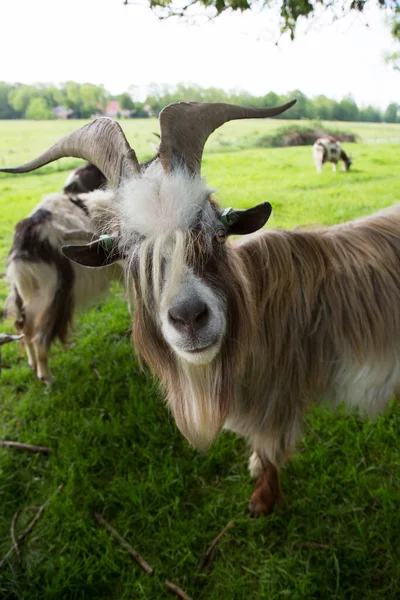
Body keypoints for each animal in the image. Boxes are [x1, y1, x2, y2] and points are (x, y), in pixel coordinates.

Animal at [3, 163, 121, 384]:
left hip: (25, 294)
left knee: (23, 327)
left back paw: (32, 365)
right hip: (50, 294)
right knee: (39, 337)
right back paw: (47, 378)